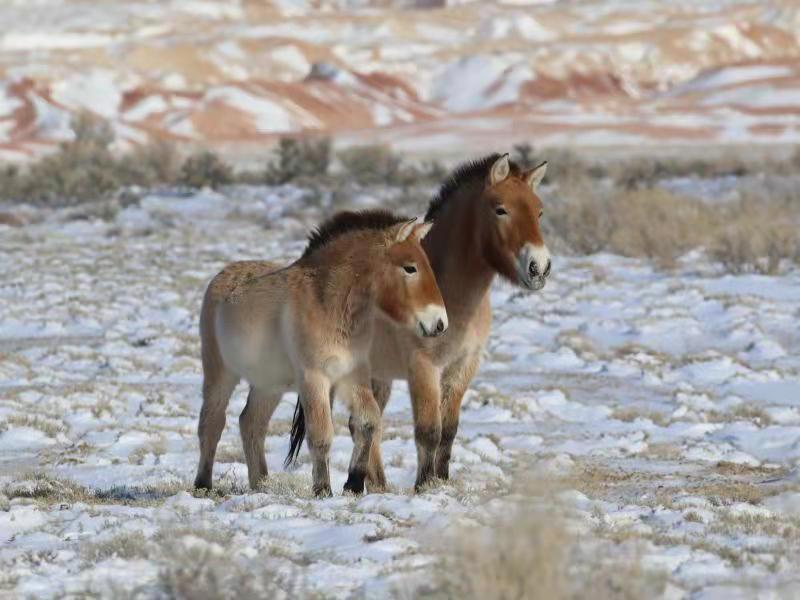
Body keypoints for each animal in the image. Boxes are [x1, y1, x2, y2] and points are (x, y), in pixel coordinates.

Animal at [194, 209, 447, 497]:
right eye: (410, 267)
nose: (440, 323)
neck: (328, 302)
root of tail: (222, 276)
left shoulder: (353, 374)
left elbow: (368, 420)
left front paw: (353, 484)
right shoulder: (314, 378)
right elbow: (321, 434)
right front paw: (323, 489)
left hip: (269, 385)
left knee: (251, 423)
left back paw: (261, 485)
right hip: (220, 374)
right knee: (211, 424)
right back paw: (203, 485)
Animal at [287, 153, 551, 491]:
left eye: (539, 211)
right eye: (500, 209)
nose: (539, 267)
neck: (453, 292)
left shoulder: (463, 366)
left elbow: (449, 429)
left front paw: (442, 480)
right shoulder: (424, 368)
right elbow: (429, 431)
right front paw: (424, 486)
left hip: (377, 375)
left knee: (365, 423)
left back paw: (376, 485)